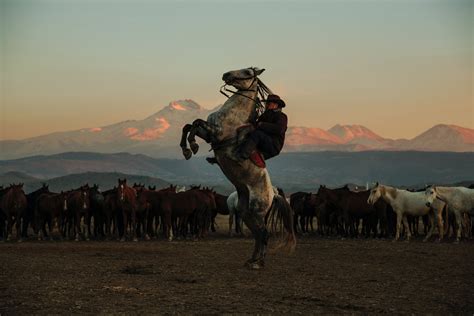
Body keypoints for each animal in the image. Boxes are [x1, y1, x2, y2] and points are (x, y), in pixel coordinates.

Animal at [180, 66, 294, 270]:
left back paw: (259, 263)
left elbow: (196, 122)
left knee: (264, 234)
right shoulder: (209, 134)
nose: (226, 75)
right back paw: (252, 260)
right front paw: (187, 149)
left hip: (257, 212)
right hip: (246, 213)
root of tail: (274, 195)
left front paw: (192, 146)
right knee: (258, 235)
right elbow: (189, 125)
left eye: (248, 72)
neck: (234, 115)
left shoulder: (215, 133)